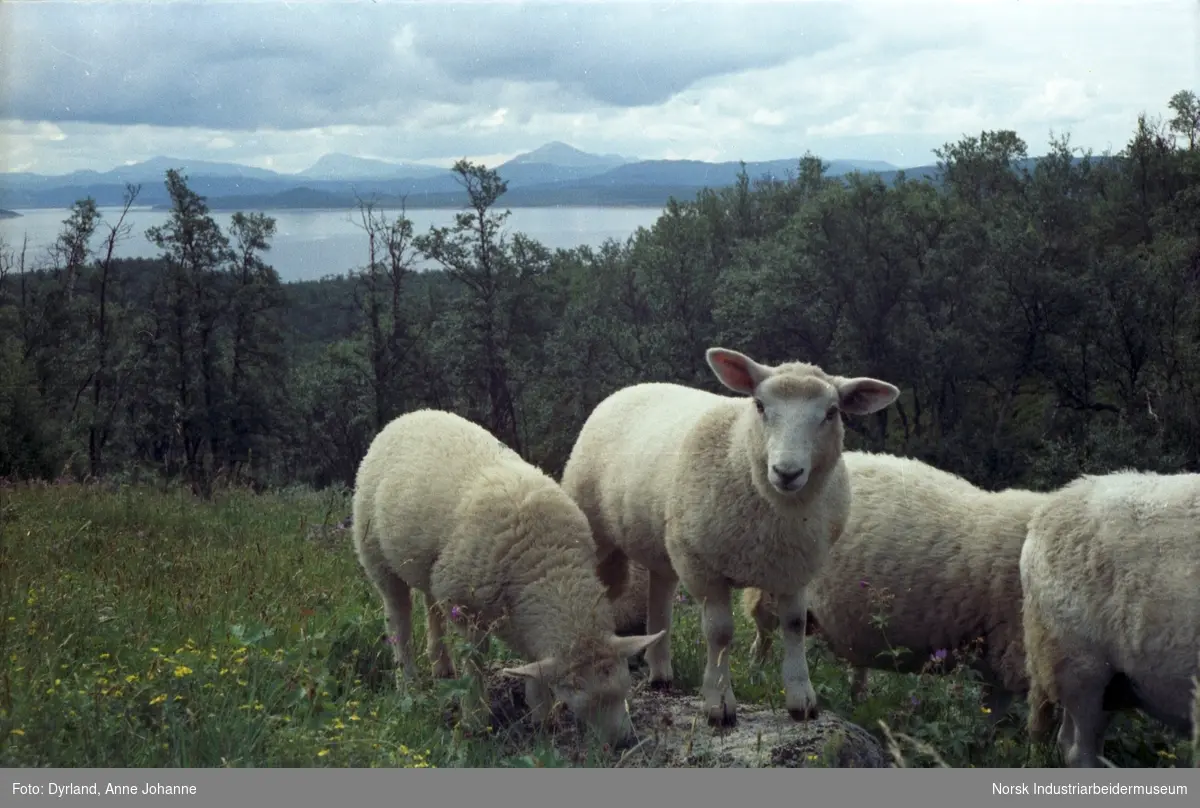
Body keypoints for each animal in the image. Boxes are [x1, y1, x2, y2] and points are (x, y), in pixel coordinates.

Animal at [348, 405, 667, 749]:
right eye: (580, 701)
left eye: (624, 688)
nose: (623, 742)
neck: (549, 566)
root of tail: (411, 414)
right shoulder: (467, 609)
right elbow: (475, 663)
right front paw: (476, 719)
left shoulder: (521, 613)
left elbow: (533, 664)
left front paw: (542, 716)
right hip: (377, 556)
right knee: (399, 620)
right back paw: (407, 682)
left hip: (431, 568)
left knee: (431, 604)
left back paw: (441, 666)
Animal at [556, 345, 897, 725]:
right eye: (760, 405)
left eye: (832, 412)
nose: (787, 472)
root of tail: (636, 387)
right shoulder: (703, 567)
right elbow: (719, 633)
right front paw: (719, 704)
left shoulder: (797, 568)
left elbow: (794, 625)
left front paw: (802, 700)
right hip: (604, 532)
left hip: (666, 544)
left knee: (660, 597)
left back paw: (660, 673)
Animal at [734, 446, 1056, 725]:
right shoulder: (1018, 658)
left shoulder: (1001, 664)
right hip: (772, 587)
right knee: (762, 638)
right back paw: (755, 678)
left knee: (854, 664)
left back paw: (859, 703)